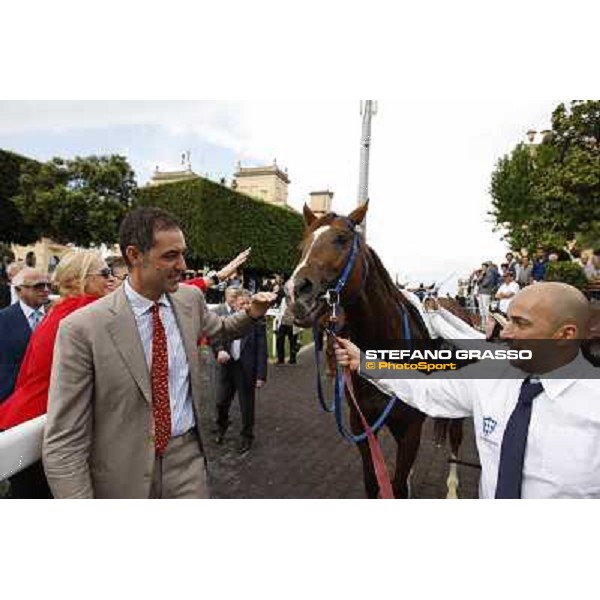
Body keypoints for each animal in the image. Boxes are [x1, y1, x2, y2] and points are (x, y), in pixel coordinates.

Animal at [288, 202, 434, 496]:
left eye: (341, 239)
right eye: (302, 246)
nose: (296, 291)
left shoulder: (411, 429)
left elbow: (397, 485)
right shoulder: (362, 426)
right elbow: (373, 482)